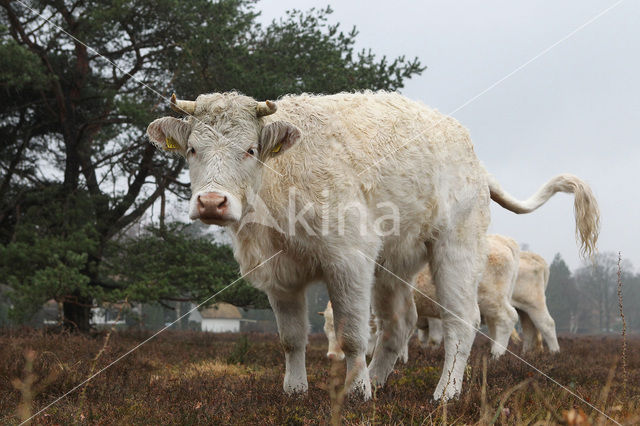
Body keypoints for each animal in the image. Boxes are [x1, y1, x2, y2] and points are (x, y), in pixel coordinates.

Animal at [148, 91, 596, 402]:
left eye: (250, 149)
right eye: (192, 150)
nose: (212, 202)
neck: (279, 182)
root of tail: (474, 159)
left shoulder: (348, 261)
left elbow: (353, 336)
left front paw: (356, 393)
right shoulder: (281, 276)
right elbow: (292, 338)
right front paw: (296, 391)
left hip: (457, 249)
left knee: (465, 321)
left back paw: (444, 393)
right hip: (393, 264)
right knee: (399, 325)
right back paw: (380, 382)